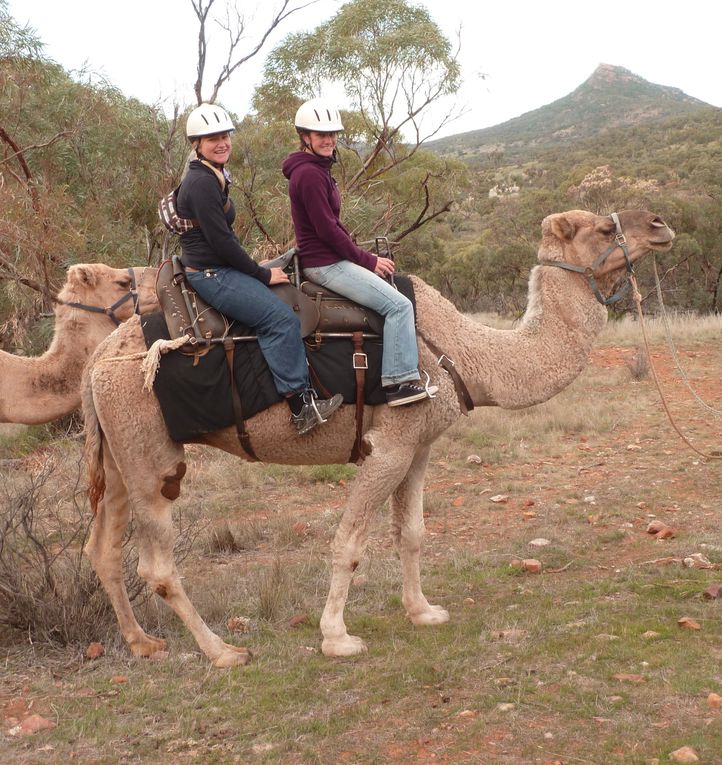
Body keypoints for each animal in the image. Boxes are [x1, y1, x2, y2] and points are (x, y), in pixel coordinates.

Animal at [81, 210, 672, 668]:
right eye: (602, 228)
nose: (661, 225)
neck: (463, 352)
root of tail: (97, 363)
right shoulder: (387, 447)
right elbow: (349, 543)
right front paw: (337, 638)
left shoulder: (419, 445)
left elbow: (411, 532)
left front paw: (423, 611)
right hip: (151, 457)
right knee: (156, 565)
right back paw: (224, 652)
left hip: (117, 455)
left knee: (102, 549)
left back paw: (143, 642)